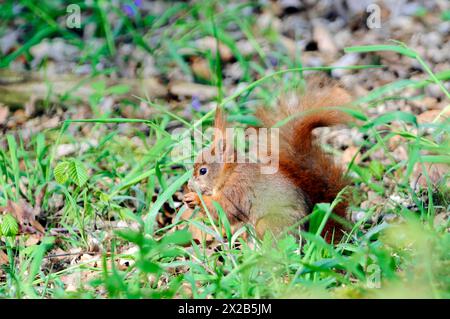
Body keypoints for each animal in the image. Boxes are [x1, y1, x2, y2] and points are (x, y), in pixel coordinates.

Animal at [182, 75, 352, 244]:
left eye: (203, 171)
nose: (189, 185)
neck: (230, 173)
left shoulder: (238, 190)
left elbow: (223, 208)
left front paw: (195, 198)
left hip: (267, 224)